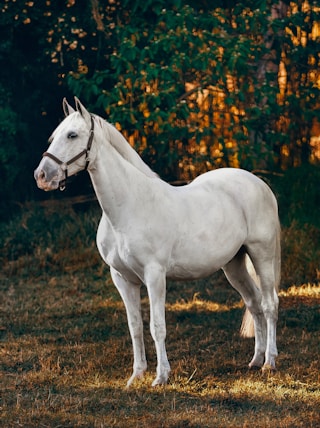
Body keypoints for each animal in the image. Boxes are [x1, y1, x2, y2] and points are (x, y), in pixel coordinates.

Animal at [34, 98, 280, 388]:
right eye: (53, 137)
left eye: (72, 135)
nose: (41, 176)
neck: (129, 207)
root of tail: (259, 184)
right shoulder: (122, 278)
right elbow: (135, 327)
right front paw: (136, 375)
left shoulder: (154, 275)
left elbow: (157, 326)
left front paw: (161, 377)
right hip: (233, 264)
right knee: (253, 303)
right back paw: (255, 360)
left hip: (261, 254)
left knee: (269, 304)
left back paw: (269, 362)